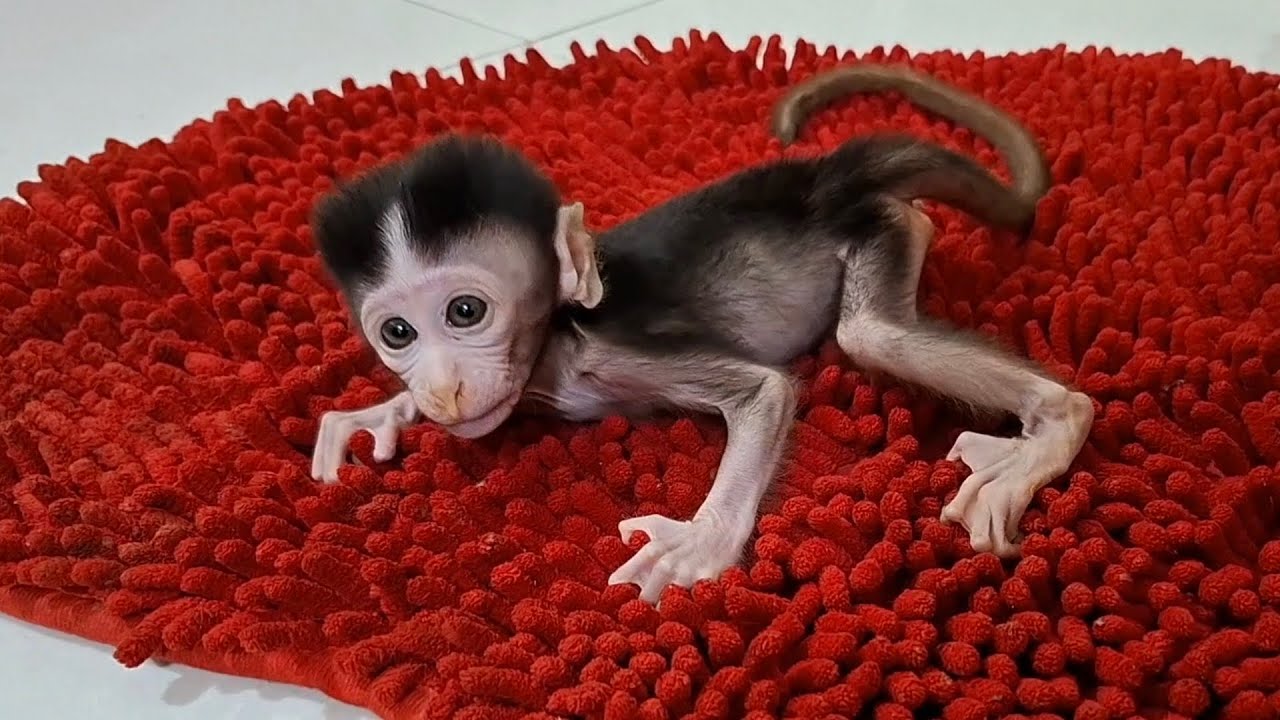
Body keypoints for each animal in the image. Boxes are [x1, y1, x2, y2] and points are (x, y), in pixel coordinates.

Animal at [306, 63, 1094, 604]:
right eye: (398, 332)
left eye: (465, 313)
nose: (442, 388)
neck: (553, 343)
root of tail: (820, 176)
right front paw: (383, 412)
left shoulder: (608, 351)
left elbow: (766, 391)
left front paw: (697, 544)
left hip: (873, 228)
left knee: (874, 336)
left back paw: (1049, 429)